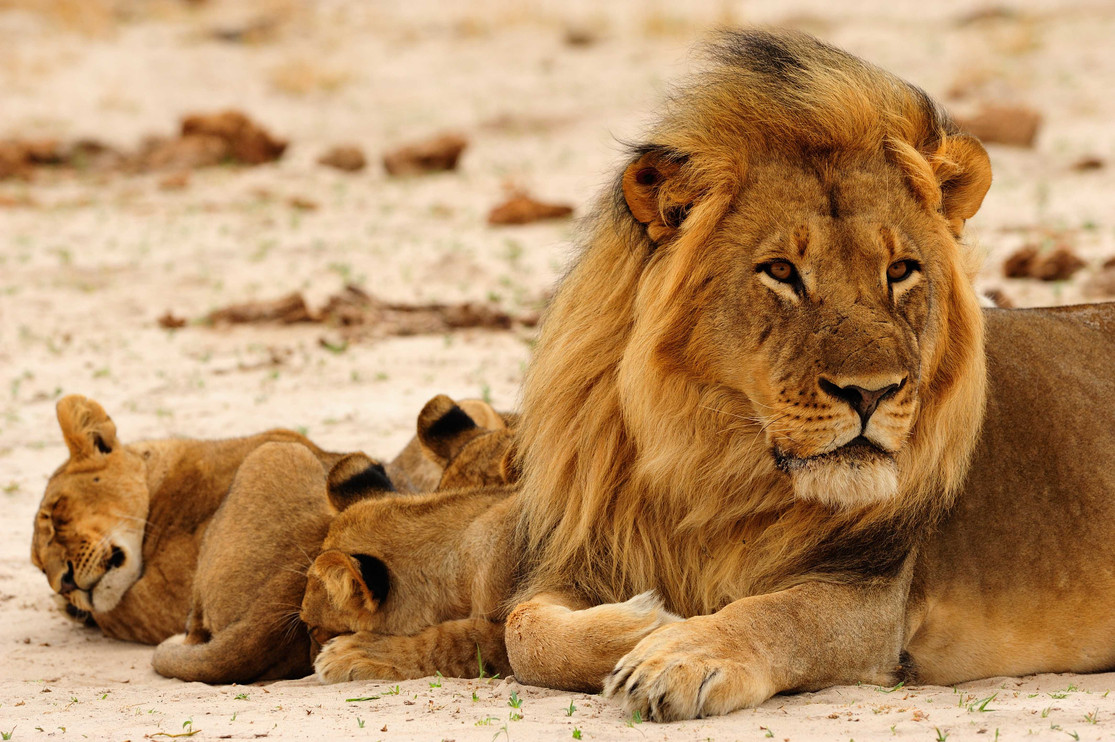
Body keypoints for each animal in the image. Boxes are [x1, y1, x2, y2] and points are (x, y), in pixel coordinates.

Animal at [31, 394, 343, 644]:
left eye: (55, 513)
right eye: (40, 568)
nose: (63, 584)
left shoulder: (167, 600)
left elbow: (112, 616)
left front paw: (73, 608)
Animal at [477, 29, 1115, 721]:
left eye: (900, 270)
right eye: (781, 271)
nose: (871, 392)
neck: (707, 461)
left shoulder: (871, 599)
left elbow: (774, 615)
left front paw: (677, 653)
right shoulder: (577, 560)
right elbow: (524, 633)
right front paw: (645, 622)